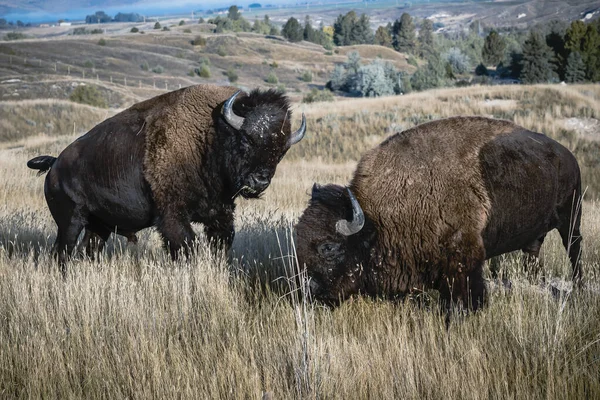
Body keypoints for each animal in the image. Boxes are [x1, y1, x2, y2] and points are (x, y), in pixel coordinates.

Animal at [28, 84, 308, 268]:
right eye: (246, 139)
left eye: (281, 151)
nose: (259, 182)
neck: (210, 137)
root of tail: (55, 165)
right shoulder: (172, 216)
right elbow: (185, 246)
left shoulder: (220, 214)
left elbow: (221, 243)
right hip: (70, 221)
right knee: (62, 252)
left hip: (99, 226)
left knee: (89, 250)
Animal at [298, 115, 584, 310]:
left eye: (328, 247)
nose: (308, 290)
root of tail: (568, 155)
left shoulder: (464, 261)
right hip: (538, 231)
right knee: (533, 252)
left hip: (571, 218)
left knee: (574, 249)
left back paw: (579, 287)